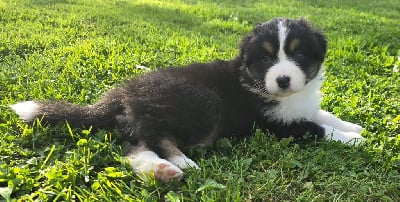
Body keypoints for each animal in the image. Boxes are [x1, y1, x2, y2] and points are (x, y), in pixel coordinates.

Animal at [10, 17, 366, 181]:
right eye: (266, 59)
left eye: (299, 55)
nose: (282, 79)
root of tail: (123, 92)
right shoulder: (272, 126)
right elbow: (316, 129)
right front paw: (354, 140)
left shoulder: (300, 105)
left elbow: (322, 114)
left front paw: (353, 126)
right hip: (202, 102)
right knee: (154, 136)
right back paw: (181, 162)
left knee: (132, 147)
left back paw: (161, 170)